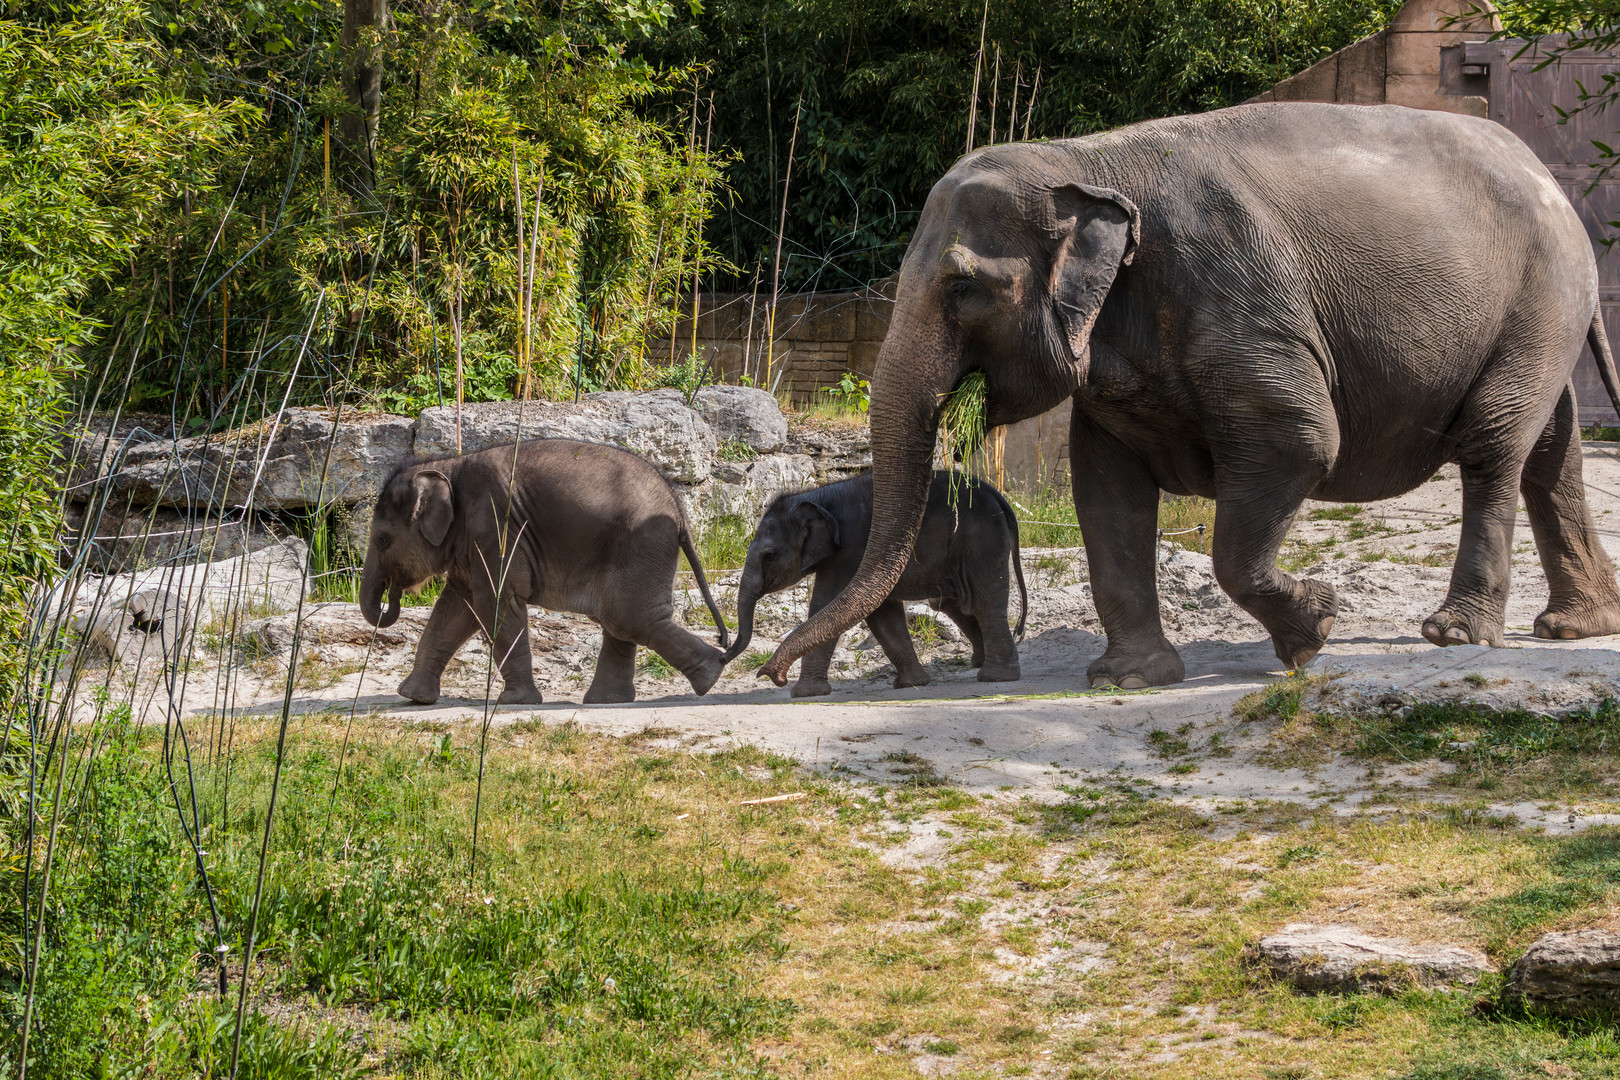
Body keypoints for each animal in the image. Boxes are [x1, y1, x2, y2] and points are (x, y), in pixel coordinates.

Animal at [362, 433, 735, 705]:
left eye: (382, 540)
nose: (390, 597)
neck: (448, 465)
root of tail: (679, 509)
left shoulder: (494, 529)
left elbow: (493, 603)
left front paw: (516, 702)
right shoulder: (473, 544)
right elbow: (456, 610)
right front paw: (413, 698)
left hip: (640, 544)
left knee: (630, 619)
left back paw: (709, 677)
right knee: (620, 619)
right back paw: (608, 701)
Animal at [729, 476, 1030, 696]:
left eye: (769, 556)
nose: (770, 676)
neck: (818, 496)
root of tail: (999, 497)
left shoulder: (851, 551)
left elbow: (826, 605)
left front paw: (804, 694)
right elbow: (882, 614)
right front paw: (912, 684)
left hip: (984, 542)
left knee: (985, 602)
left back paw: (995, 676)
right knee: (949, 602)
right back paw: (979, 662)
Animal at [758, 103, 1620, 693]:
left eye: (962, 288)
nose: (768, 675)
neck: (1086, 161)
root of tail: (1550, 178)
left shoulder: (1237, 297)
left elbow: (1300, 439)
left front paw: (1313, 630)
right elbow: (1104, 488)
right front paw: (1130, 678)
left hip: (1535, 304)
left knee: (1494, 445)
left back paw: (1455, 635)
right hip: (1545, 314)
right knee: (1552, 455)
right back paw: (1573, 626)